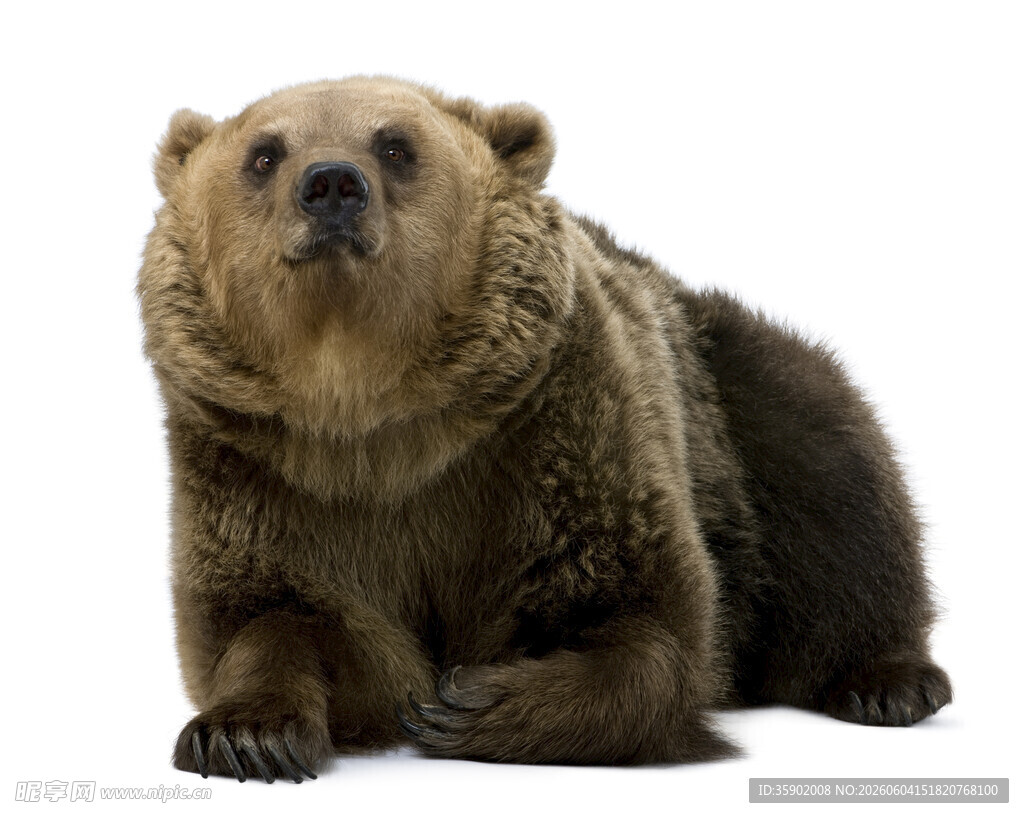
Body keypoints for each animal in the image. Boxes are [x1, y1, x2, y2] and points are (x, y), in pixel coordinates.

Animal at [138, 76, 952, 782]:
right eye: (264, 153)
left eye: (396, 145)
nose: (332, 183)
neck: (375, 417)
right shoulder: (258, 471)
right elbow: (270, 616)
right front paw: (247, 736)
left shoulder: (556, 429)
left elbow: (644, 615)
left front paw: (468, 701)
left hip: (735, 406)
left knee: (834, 472)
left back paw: (889, 682)